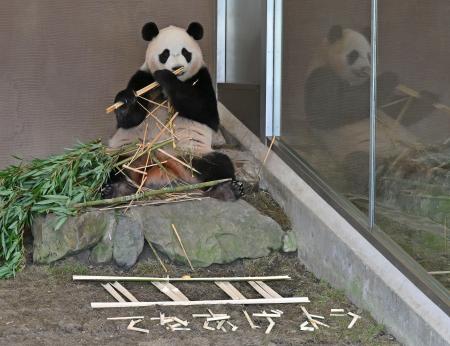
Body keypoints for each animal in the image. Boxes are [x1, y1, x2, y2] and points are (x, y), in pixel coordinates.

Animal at [103, 22, 243, 200]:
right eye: (165, 54)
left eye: (185, 52)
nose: (177, 67)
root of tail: (163, 168)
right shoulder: (143, 77)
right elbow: (130, 120)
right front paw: (125, 101)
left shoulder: (202, 78)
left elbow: (207, 113)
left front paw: (167, 78)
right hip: (129, 152)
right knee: (110, 164)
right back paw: (116, 189)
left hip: (192, 154)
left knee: (219, 163)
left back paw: (227, 189)